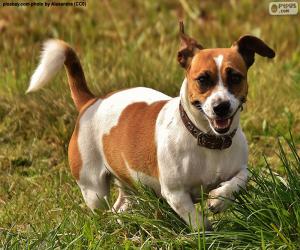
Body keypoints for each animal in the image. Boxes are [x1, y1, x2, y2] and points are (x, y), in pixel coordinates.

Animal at [27, 22, 276, 229]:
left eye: (235, 77)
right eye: (203, 80)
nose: (221, 106)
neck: (207, 139)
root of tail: (91, 101)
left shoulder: (239, 168)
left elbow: (242, 179)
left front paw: (220, 198)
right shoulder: (176, 194)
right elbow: (196, 221)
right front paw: (207, 232)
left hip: (129, 184)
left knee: (120, 207)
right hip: (94, 190)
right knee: (102, 209)